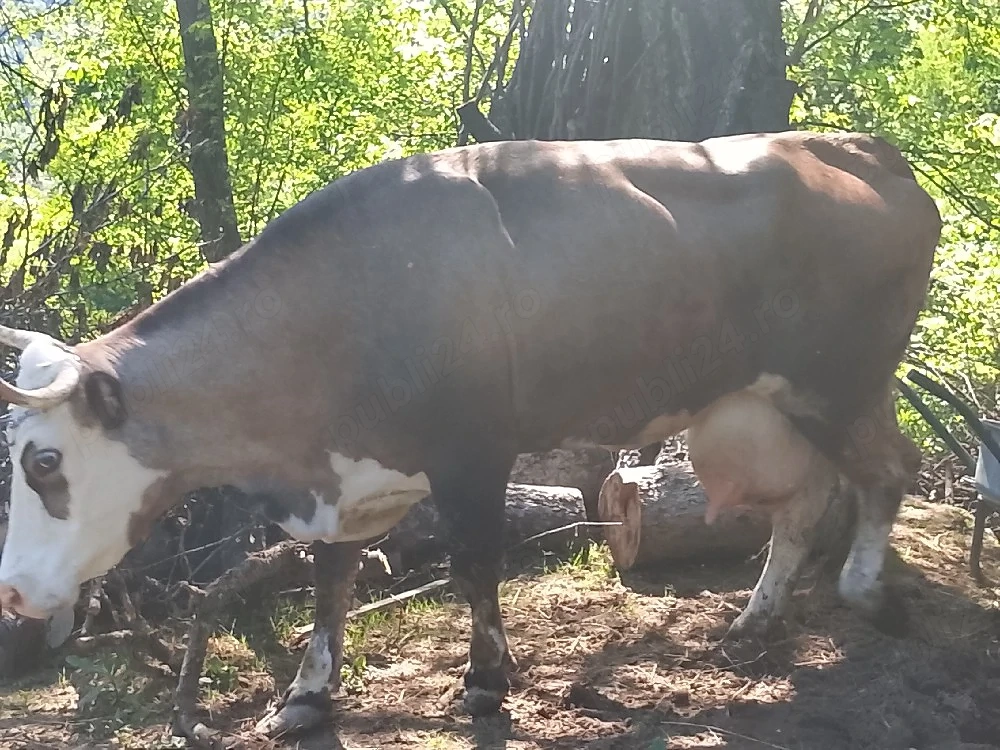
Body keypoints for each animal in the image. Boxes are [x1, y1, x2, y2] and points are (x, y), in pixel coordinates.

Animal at [0, 130, 940, 737]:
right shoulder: (345, 478)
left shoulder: (475, 451)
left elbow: (474, 563)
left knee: (890, 468)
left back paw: (861, 592)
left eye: (43, 460)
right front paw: (307, 695)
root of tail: (864, 146)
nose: (11, 594)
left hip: (842, 380)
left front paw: (485, 682)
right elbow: (330, 581)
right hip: (759, 407)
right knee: (806, 501)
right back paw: (754, 623)